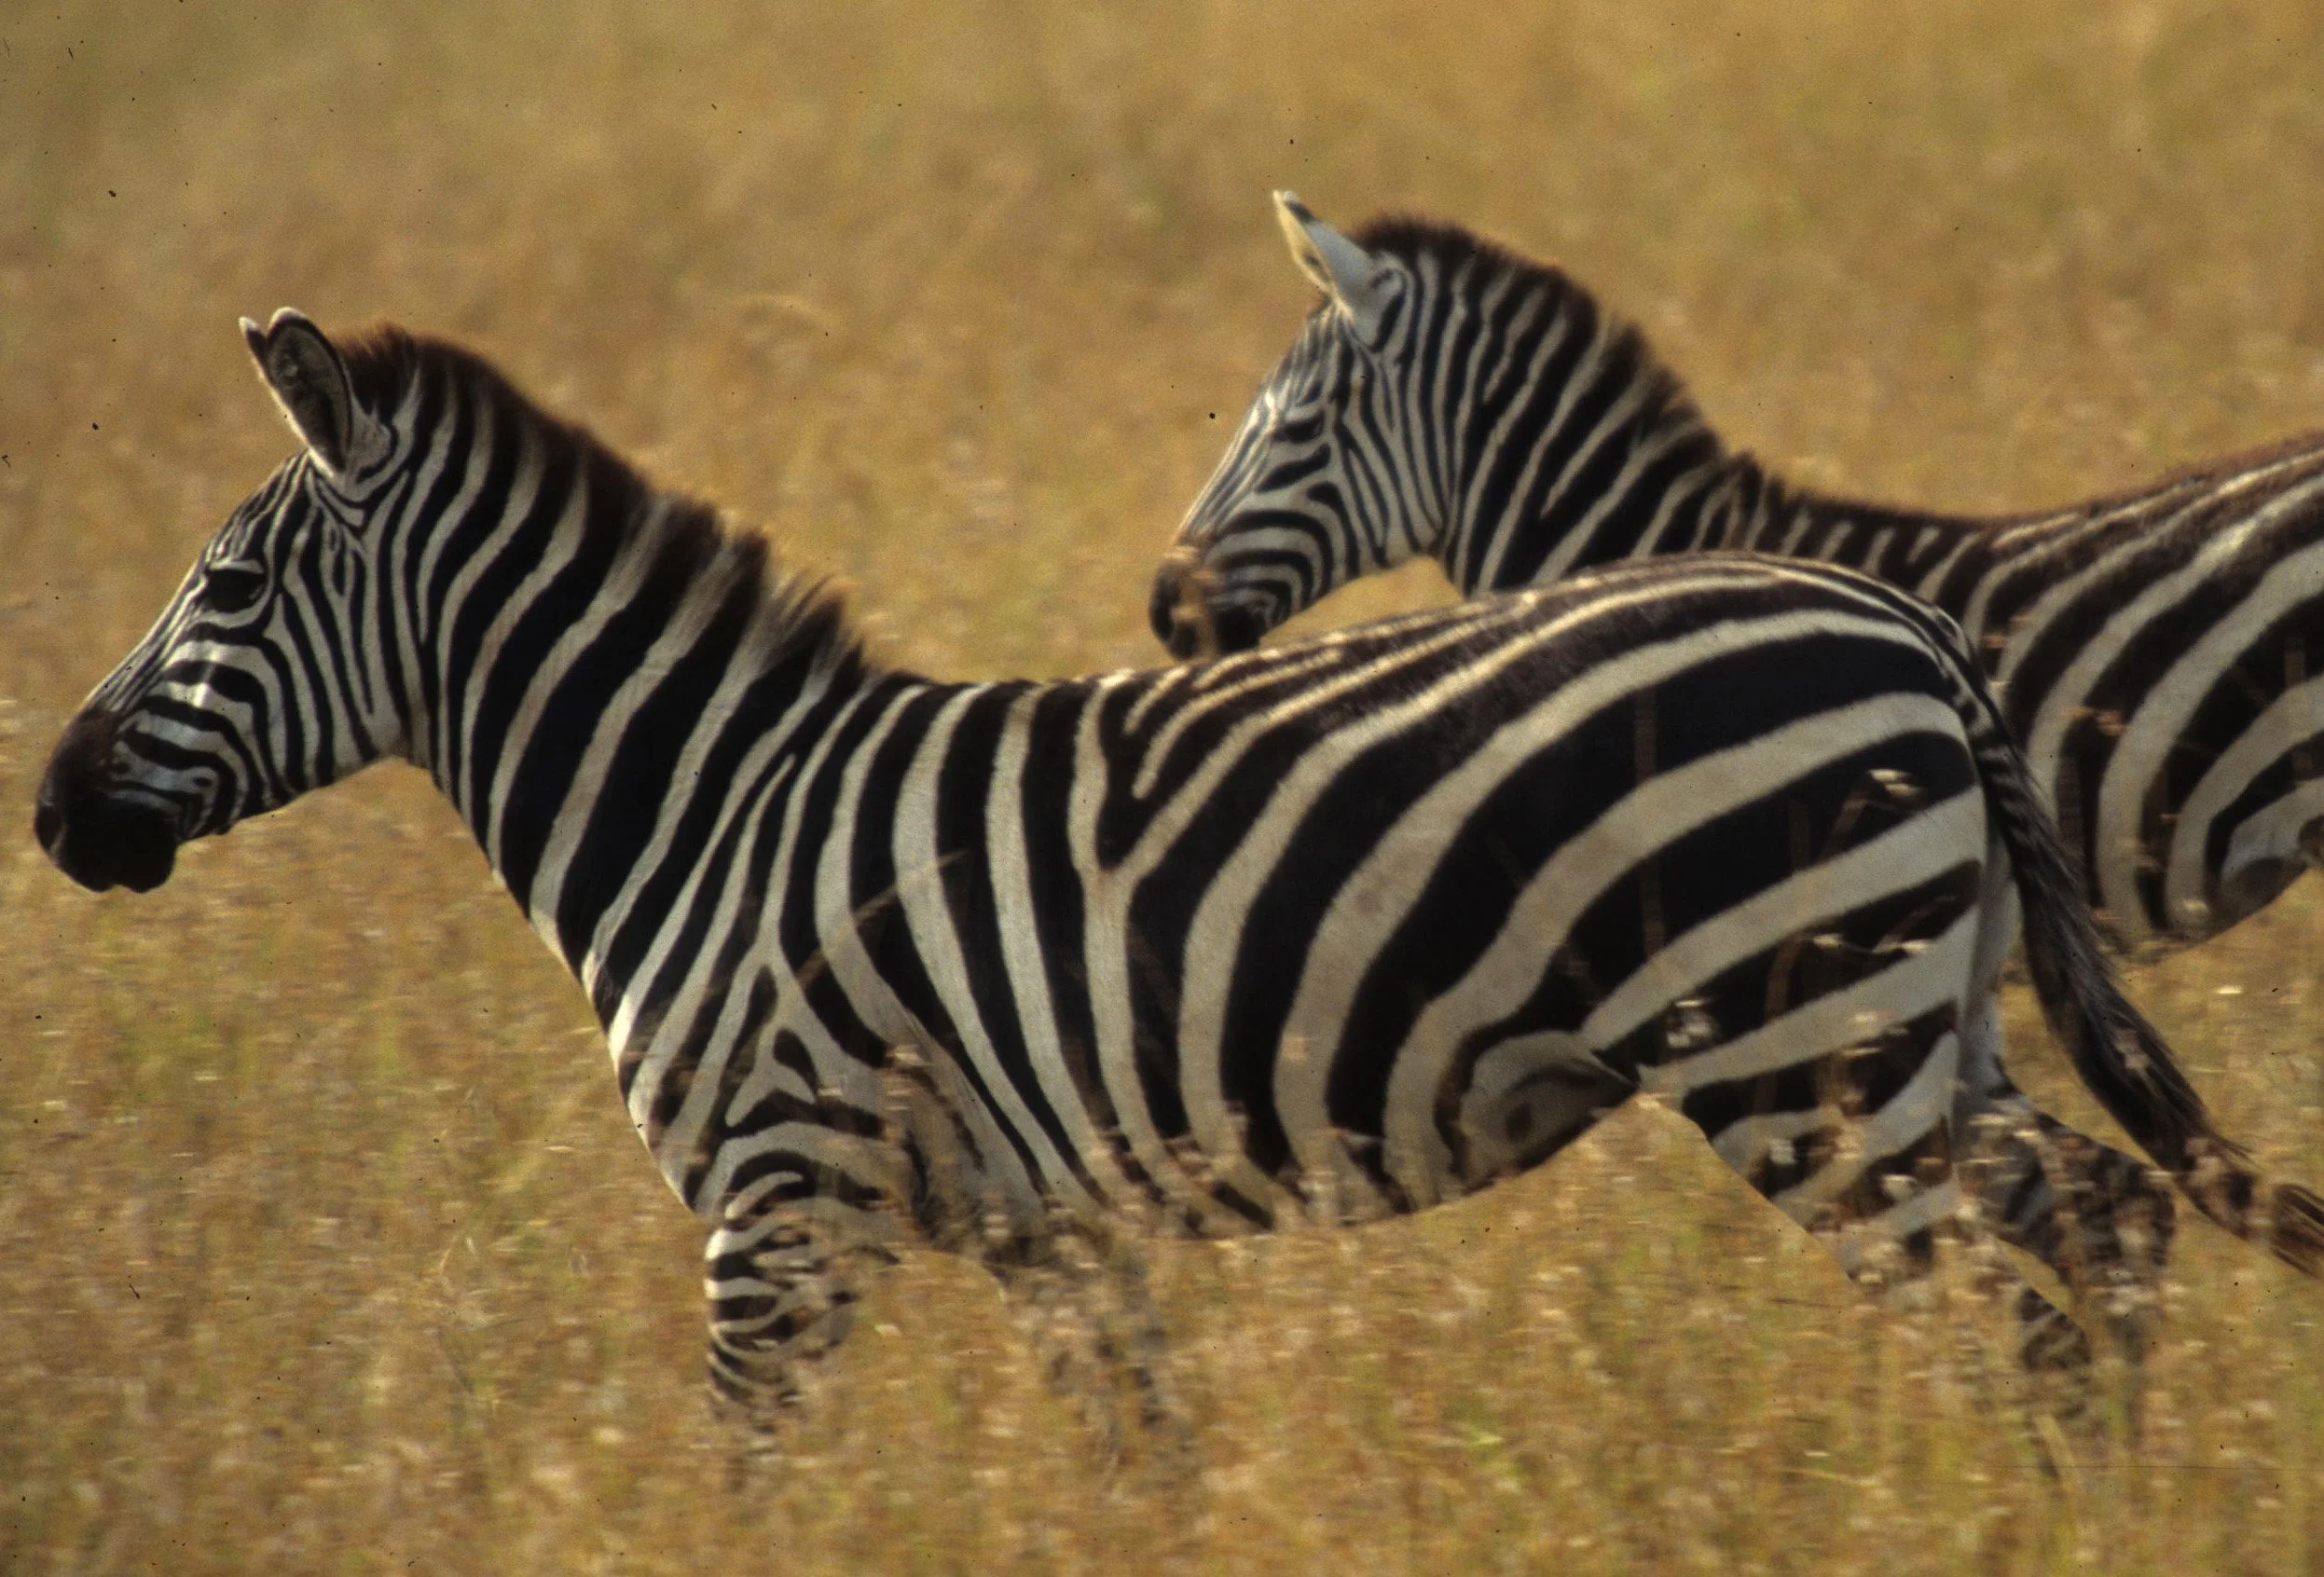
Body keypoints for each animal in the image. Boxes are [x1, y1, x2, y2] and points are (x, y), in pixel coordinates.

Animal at [36, 312, 2322, 1451]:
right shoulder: (1049, 1232)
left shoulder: (781, 1206)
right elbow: (1136, 1464)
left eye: (223, 586)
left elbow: (747, 1481)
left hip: (1801, 1040)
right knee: (2103, 1230)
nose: (52, 815)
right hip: (1910, 1010)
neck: (702, 813)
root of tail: (1900, 617)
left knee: (2027, 1289)